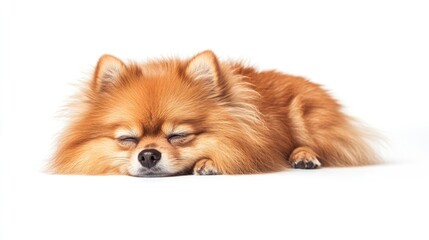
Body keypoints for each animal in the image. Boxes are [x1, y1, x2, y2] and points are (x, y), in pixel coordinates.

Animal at [51, 50, 378, 176]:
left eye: (178, 135)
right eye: (128, 139)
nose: (148, 156)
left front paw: (208, 162)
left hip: (306, 117)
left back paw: (303, 156)